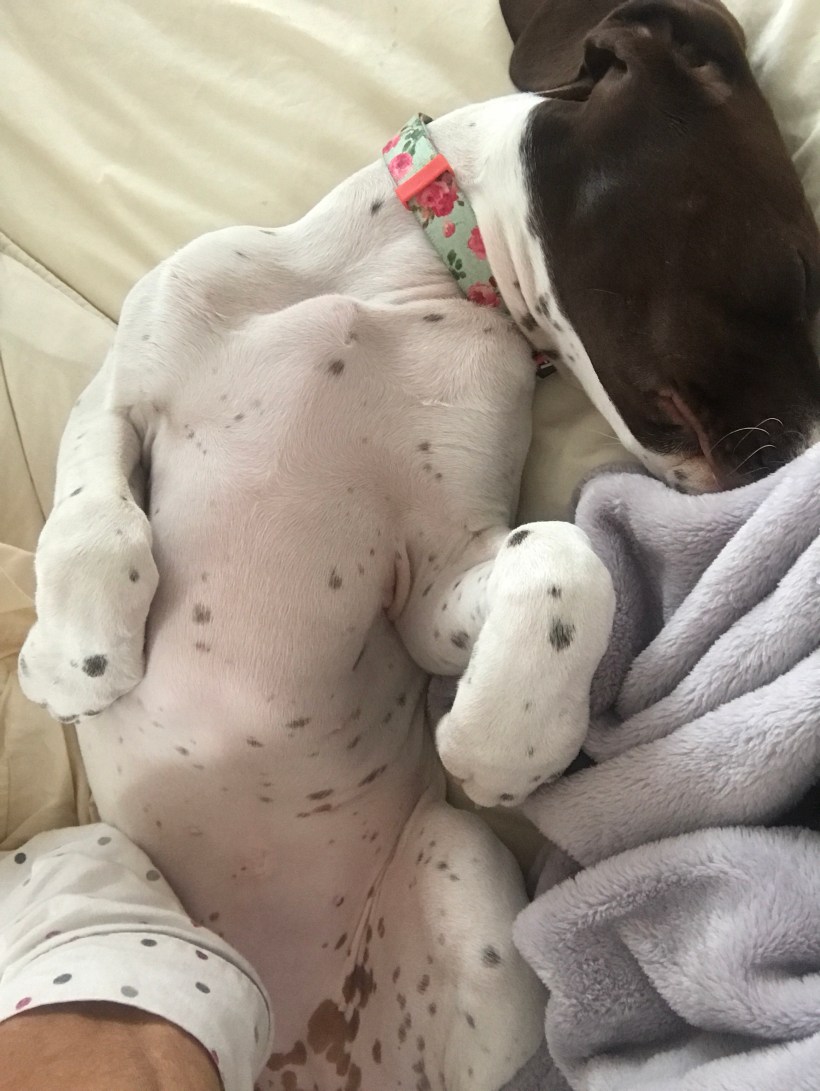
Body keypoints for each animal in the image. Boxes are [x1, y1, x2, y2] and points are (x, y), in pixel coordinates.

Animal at [17, 0, 820, 1088]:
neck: (397, 286)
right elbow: (93, 509)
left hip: (462, 869)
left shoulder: (433, 578)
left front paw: (503, 742)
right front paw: (77, 658)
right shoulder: (126, 383)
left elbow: (563, 557)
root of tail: (302, 1050)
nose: (803, 461)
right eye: (806, 271)